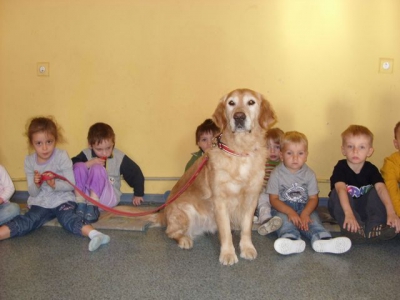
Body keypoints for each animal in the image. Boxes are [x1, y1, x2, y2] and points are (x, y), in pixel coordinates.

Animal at [122, 88, 278, 264]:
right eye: (231, 103)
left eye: (251, 102)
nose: (239, 116)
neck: (239, 150)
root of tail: (164, 214)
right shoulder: (220, 201)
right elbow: (226, 232)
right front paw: (228, 254)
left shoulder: (251, 198)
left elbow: (246, 228)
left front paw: (247, 248)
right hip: (186, 210)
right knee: (170, 232)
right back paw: (184, 240)